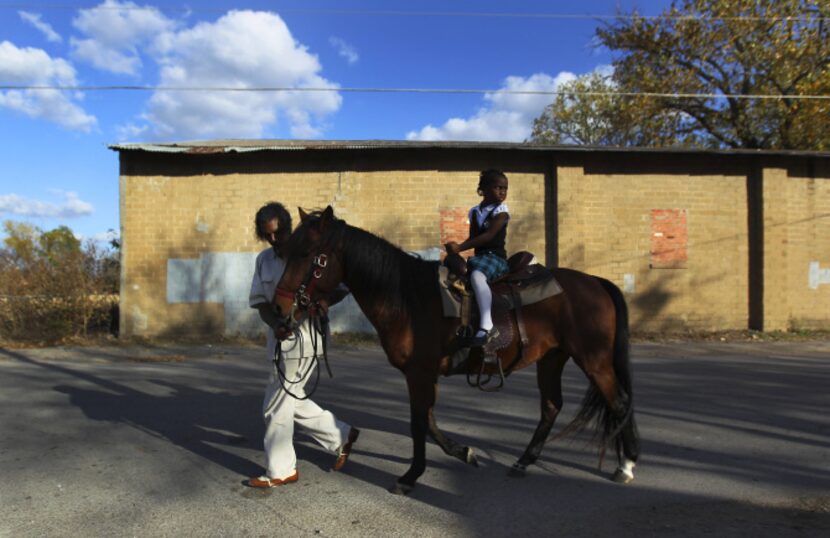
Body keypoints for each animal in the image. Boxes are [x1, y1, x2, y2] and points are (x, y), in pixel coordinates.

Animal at [274, 206, 644, 494]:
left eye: (307, 255)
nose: (279, 308)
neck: (409, 297)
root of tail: (596, 282)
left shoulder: (419, 374)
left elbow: (418, 424)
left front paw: (410, 477)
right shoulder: (425, 375)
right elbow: (429, 421)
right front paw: (462, 452)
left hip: (593, 360)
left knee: (619, 401)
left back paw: (626, 465)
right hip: (552, 359)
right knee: (552, 407)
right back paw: (524, 461)